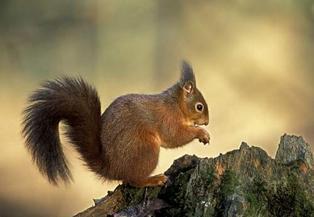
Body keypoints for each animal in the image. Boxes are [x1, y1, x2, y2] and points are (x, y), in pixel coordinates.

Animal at [21, 60, 209, 187]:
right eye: (199, 107)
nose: (206, 122)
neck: (176, 104)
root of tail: (111, 168)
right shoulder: (168, 118)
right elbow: (174, 136)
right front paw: (201, 133)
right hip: (146, 149)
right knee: (133, 180)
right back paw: (154, 179)